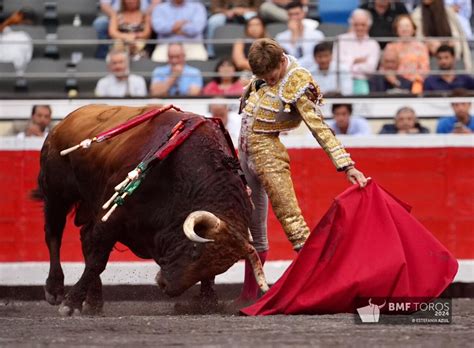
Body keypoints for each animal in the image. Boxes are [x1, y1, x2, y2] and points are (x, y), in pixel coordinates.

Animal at [34, 104, 266, 316]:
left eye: (222, 267)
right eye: (194, 251)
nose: (166, 287)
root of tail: (63, 122)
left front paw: (207, 302)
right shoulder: (113, 217)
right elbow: (97, 260)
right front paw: (70, 303)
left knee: (83, 236)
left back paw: (93, 301)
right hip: (56, 193)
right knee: (54, 233)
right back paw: (55, 289)